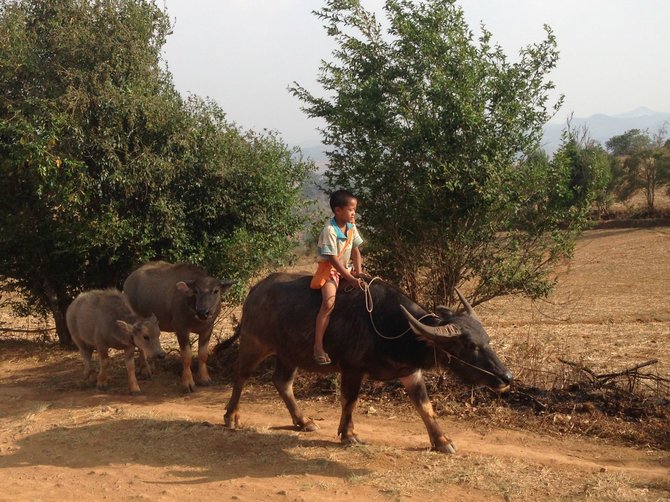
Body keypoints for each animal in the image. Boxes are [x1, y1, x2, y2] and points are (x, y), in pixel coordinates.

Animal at [123, 260, 236, 394]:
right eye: (196, 291)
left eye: (216, 291)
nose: (203, 312)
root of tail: (129, 280)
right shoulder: (181, 329)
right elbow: (186, 356)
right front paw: (187, 383)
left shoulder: (208, 329)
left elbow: (203, 354)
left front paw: (204, 378)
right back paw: (145, 370)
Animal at [226, 272, 516, 452]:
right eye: (470, 346)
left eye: (487, 340)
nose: (506, 378)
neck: (395, 328)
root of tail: (255, 290)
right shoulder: (352, 369)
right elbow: (349, 400)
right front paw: (349, 434)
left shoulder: (411, 372)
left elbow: (426, 407)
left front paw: (442, 441)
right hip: (254, 345)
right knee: (240, 375)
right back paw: (231, 417)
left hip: (290, 354)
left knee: (282, 382)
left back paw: (303, 421)